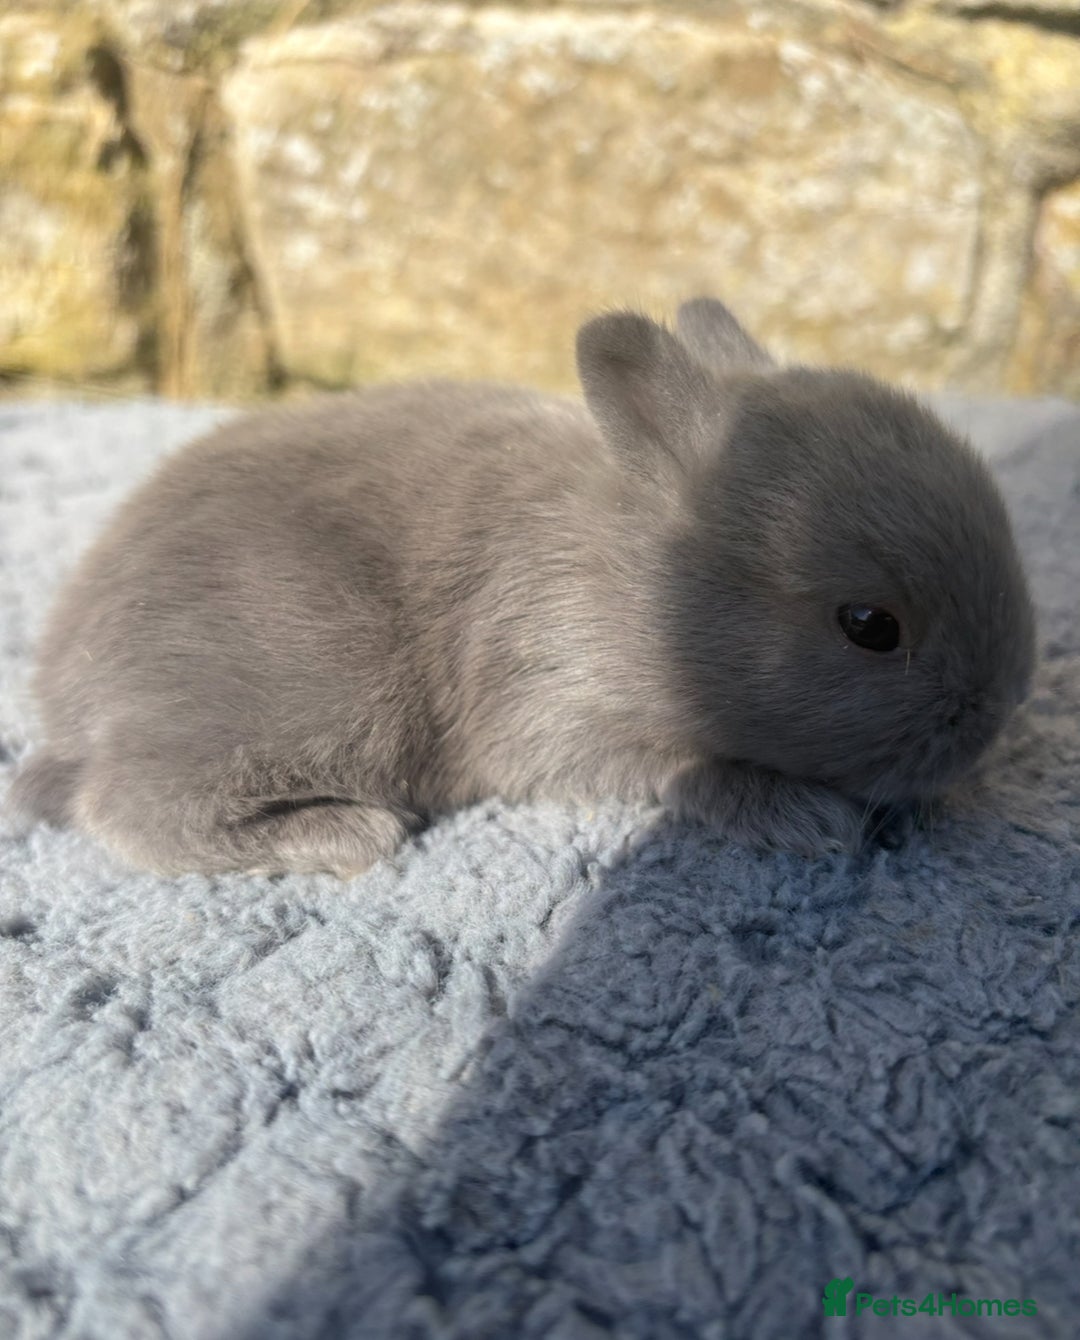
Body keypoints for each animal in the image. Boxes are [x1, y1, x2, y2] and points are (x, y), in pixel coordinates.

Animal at [9, 298, 1036, 876]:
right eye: (869, 624)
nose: (996, 715)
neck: (642, 590)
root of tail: (68, 702)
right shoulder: (553, 712)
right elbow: (686, 771)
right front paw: (810, 816)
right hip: (318, 689)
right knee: (127, 806)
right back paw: (342, 835)